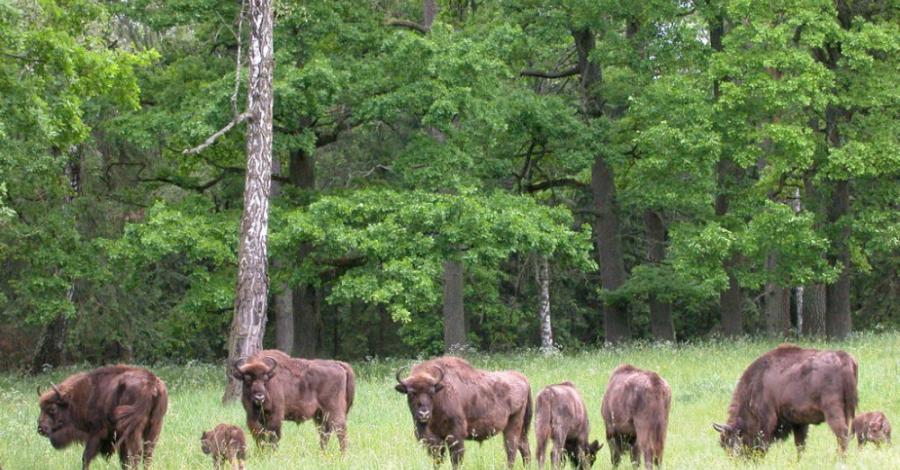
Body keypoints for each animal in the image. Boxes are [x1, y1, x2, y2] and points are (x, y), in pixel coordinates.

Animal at [36, 366, 169, 468]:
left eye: (52, 409)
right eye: (40, 407)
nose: (41, 428)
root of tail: (151, 383)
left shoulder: (97, 432)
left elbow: (86, 457)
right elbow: (124, 460)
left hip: (134, 429)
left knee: (137, 454)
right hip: (155, 426)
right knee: (147, 454)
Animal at [712, 344, 860, 458]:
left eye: (731, 443)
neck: (755, 384)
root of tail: (843, 357)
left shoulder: (767, 418)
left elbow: (764, 441)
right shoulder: (800, 423)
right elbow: (800, 445)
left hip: (832, 411)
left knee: (842, 434)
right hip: (847, 411)